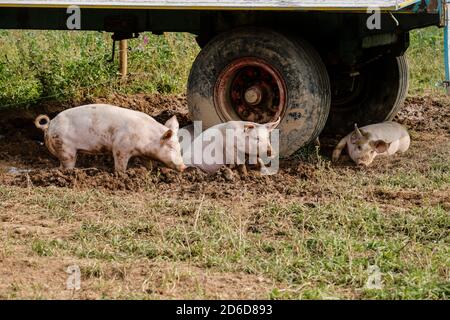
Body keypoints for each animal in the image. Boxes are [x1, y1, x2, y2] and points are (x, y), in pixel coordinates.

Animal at [34, 104, 186, 172]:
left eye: (179, 148)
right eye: (171, 147)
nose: (184, 167)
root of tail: (49, 124)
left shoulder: (144, 154)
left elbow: (147, 163)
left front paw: (146, 172)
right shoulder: (121, 147)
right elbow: (120, 163)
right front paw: (122, 175)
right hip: (66, 147)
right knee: (68, 164)